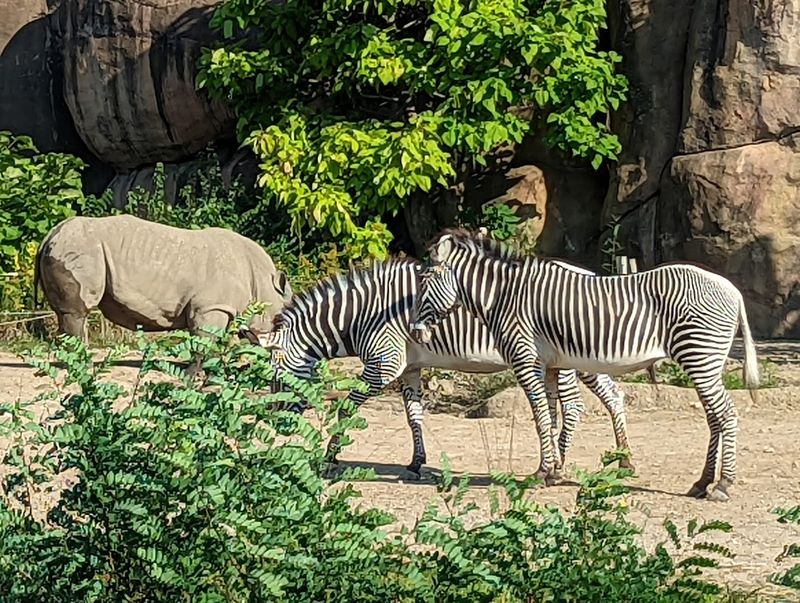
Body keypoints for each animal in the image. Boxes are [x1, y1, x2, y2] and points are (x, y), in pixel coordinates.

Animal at [240, 258, 632, 476]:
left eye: (276, 377)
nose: (277, 424)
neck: (359, 315)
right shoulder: (408, 368)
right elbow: (414, 415)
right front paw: (416, 462)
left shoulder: (383, 364)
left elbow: (347, 408)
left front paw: (330, 456)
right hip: (588, 357)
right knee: (613, 396)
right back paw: (624, 459)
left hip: (563, 358)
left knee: (575, 405)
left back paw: (561, 460)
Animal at [409, 228, 759, 501]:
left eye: (425, 280)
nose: (414, 332)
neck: (505, 298)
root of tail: (733, 291)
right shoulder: (548, 365)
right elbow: (550, 418)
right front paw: (551, 471)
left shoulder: (525, 360)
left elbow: (540, 418)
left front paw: (541, 473)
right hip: (704, 361)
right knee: (714, 418)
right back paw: (701, 483)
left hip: (699, 356)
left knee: (726, 415)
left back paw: (722, 485)